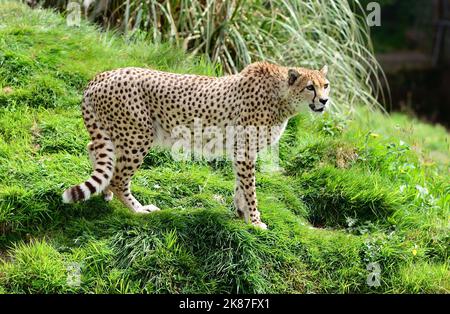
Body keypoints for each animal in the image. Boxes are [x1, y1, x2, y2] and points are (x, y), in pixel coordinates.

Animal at [62, 62, 330, 228]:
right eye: (310, 87)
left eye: (325, 85)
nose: (325, 101)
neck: (281, 97)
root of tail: (101, 75)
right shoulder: (245, 150)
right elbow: (250, 190)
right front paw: (255, 222)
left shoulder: (240, 152)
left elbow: (240, 186)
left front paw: (241, 214)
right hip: (138, 136)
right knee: (119, 178)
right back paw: (137, 209)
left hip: (117, 134)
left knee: (95, 151)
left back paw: (104, 191)